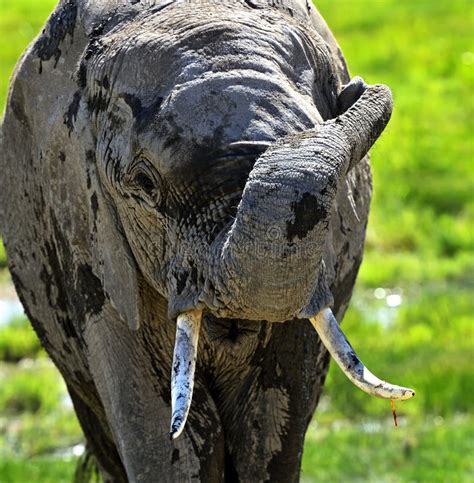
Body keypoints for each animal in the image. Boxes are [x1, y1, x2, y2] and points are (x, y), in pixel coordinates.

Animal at [0, 0, 412, 482]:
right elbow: (167, 435)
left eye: (339, 184)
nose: (355, 89)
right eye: (144, 184)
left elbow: (271, 423)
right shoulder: (90, 236)